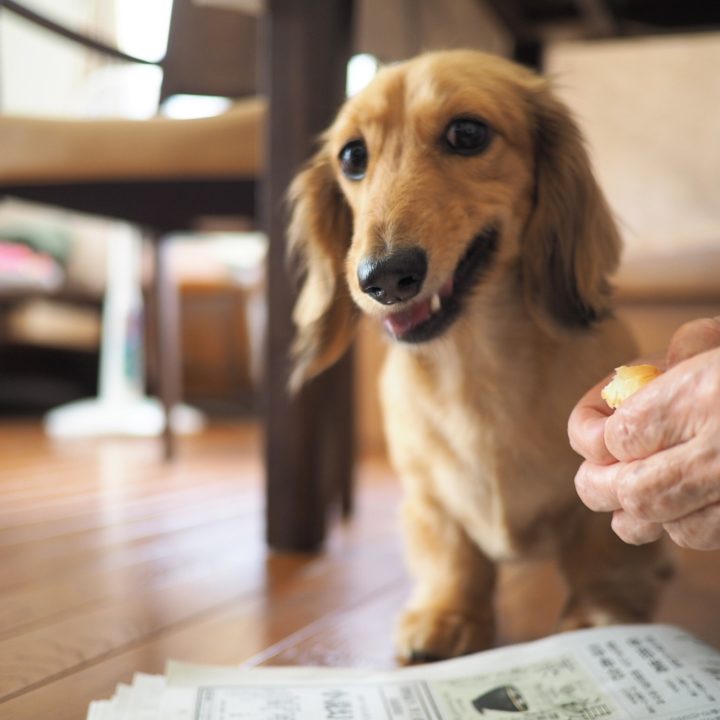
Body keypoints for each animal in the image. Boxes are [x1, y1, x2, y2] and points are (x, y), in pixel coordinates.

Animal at [288, 47, 668, 660]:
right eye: (352, 156)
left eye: (467, 134)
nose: (384, 278)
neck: (475, 366)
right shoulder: (427, 499)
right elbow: (453, 554)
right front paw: (449, 614)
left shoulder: (600, 507)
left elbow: (602, 553)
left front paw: (598, 615)